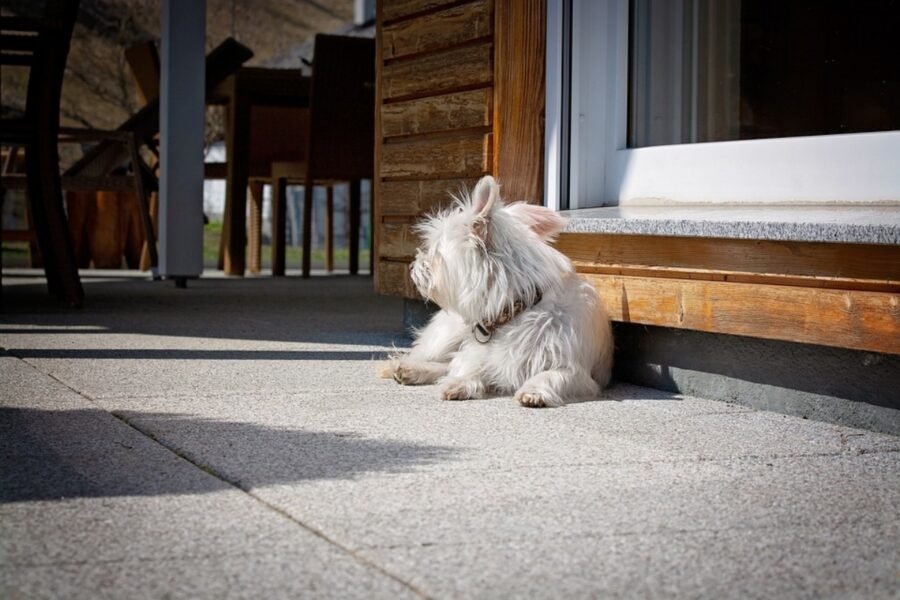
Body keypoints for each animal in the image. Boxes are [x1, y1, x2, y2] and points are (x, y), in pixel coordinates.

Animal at [380, 175, 612, 408]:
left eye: (435, 253)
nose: (413, 265)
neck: (515, 310)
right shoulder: (476, 353)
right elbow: (467, 366)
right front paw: (460, 383)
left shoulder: (577, 372)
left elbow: (551, 375)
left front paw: (533, 391)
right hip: (447, 336)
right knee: (431, 356)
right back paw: (408, 367)